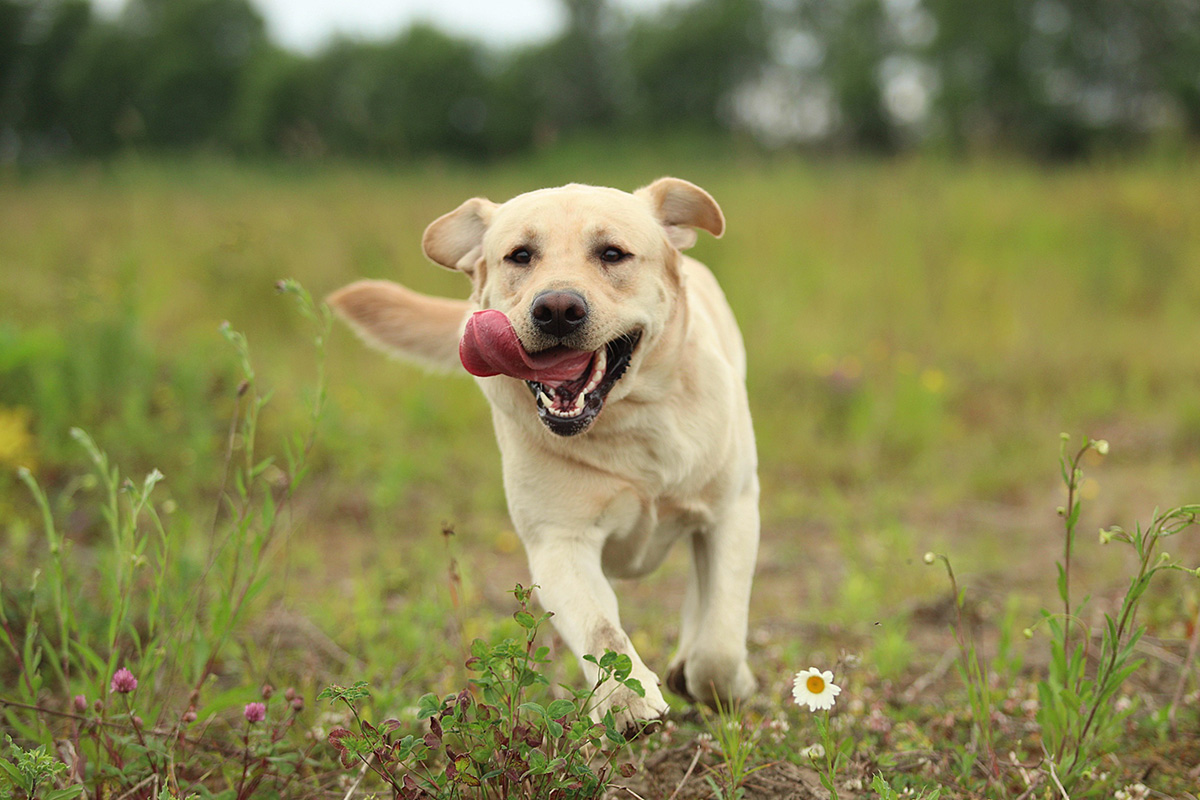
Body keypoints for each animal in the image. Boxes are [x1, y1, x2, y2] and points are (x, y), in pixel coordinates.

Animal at [328, 178, 758, 729]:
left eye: (612, 253)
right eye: (521, 255)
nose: (556, 309)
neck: (625, 424)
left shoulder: (733, 510)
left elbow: (719, 644)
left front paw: (720, 682)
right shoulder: (559, 543)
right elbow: (601, 629)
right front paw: (627, 701)